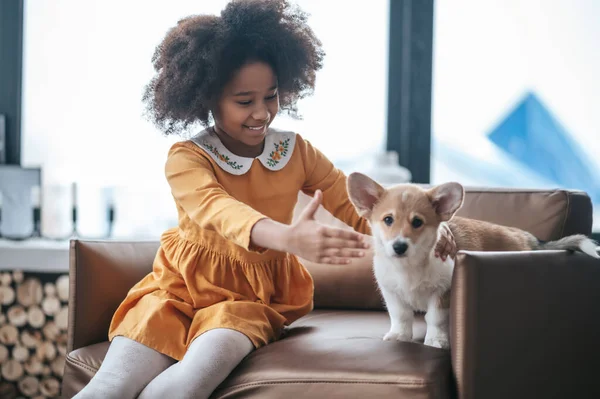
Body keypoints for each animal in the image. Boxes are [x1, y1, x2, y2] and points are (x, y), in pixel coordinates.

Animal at [344, 172, 596, 350]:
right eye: (388, 220)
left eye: (417, 222)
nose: (399, 246)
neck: (409, 266)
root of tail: (529, 238)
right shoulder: (392, 293)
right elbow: (401, 316)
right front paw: (399, 337)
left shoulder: (443, 292)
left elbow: (434, 319)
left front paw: (436, 341)